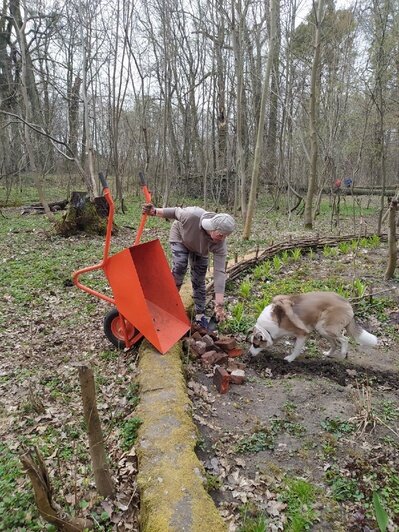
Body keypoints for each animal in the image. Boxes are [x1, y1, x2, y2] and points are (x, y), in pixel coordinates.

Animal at [250, 290, 378, 362]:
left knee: (345, 339)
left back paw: (343, 353)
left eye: (256, 345)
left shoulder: (303, 334)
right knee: (335, 343)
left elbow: (296, 348)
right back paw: (328, 354)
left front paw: (290, 359)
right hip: (322, 330)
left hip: (325, 328)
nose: (249, 354)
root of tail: (348, 303)